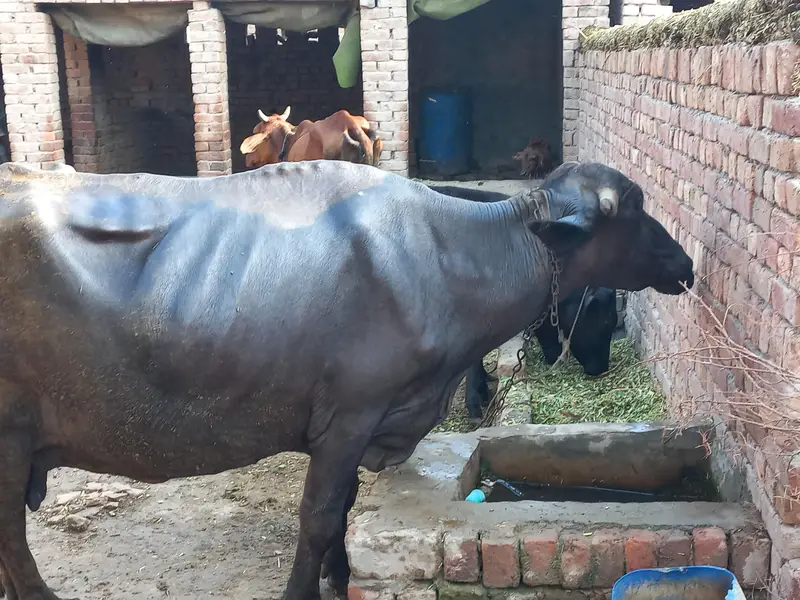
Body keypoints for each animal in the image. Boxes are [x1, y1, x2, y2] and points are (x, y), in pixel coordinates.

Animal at [0, 159, 692, 600]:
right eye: (632, 207)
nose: (685, 263)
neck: (450, 259)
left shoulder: (364, 424)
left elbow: (344, 509)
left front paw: (338, 573)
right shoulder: (348, 418)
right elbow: (319, 513)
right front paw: (304, 589)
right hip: (10, 435)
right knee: (11, 537)